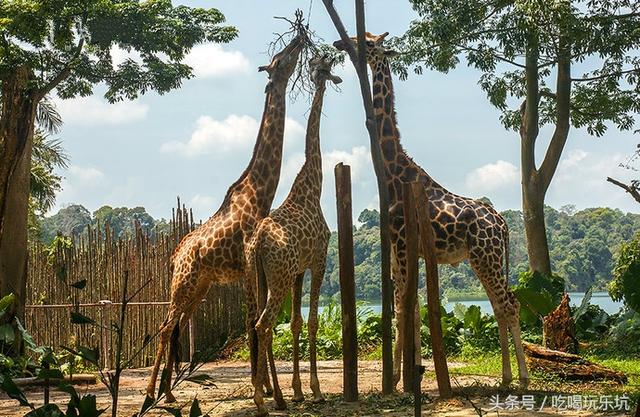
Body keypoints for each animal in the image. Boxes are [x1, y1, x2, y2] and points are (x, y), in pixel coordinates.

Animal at [145, 34, 304, 402]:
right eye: (281, 58)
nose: (299, 38)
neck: (259, 194)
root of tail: (174, 256)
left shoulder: (253, 268)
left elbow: (257, 323)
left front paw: (269, 389)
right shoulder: (247, 263)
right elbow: (252, 323)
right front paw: (264, 388)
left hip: (199, 287)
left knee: (175, 326)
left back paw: (168, 393)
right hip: (184, 282)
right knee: (164, 326)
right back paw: (151, 394)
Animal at [244, 56, 340, 416]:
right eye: (322, 68)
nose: (325, 72)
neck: (314, 184)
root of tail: (258, 242)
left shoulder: (299, 269)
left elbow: (297, 323)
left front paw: (298, 390)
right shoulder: (319, 260)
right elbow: (312, 322)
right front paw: (315, 390)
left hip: (259, 275)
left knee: (259, 324)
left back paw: (276, 396)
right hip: (279, 277)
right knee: (264, 324)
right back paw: (262, 400)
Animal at [332, 31, 528, 386]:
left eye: (368, 41)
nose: (341, 44)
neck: (394, 172)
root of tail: (503, 225)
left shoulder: (402, 243)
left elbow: (402, 308)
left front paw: (398, 378)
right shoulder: (401, 249)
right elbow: (410, 307)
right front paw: (410, 374)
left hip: (487, 255)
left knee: (510, 304)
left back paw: (522, 376)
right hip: (480, 258)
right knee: (498, 305)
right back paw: (506, 375)